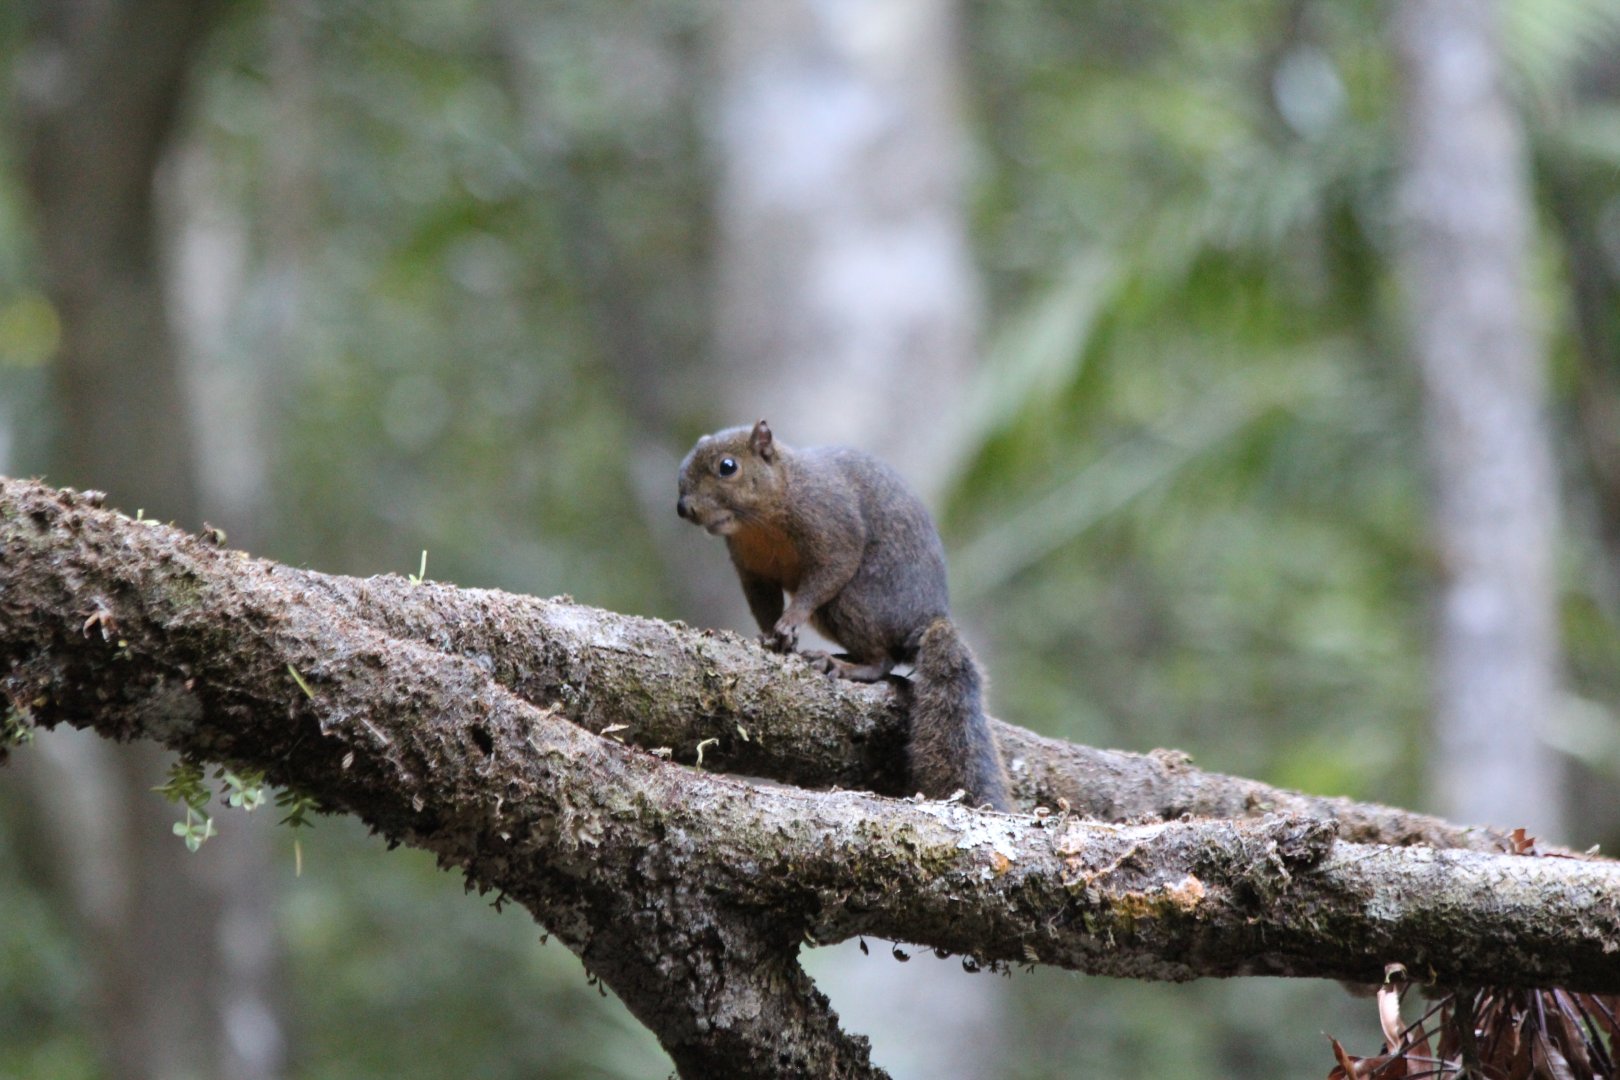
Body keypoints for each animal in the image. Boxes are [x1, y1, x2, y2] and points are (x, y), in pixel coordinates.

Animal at [677, 419, 1012, 811]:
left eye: (727, 467)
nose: (683, 508)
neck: (763, 517)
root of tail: (927, 620)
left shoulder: (831, 523)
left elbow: (830, 568)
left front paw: (790, 622)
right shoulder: (751, 567)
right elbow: (763, 603)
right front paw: (769, 637)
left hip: (851, 601)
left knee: (882, 661)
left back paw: (843, 665)